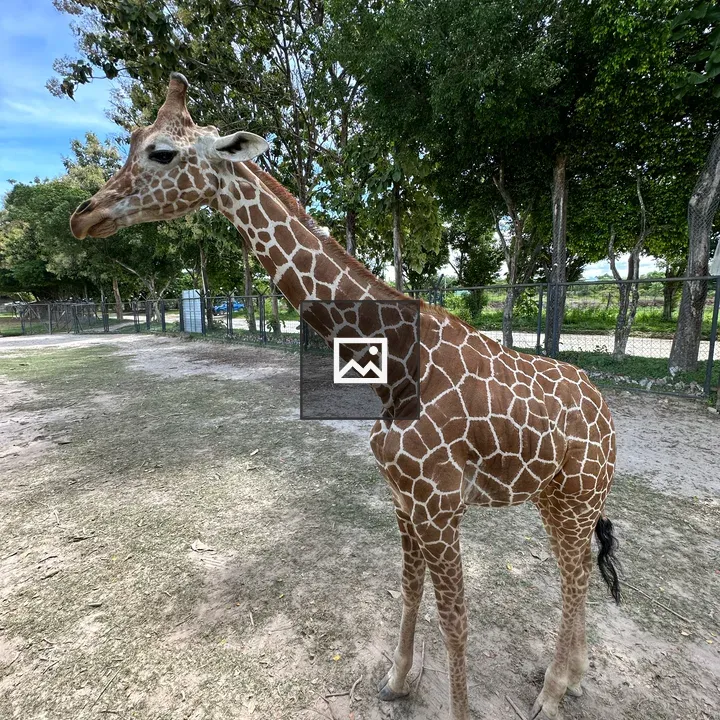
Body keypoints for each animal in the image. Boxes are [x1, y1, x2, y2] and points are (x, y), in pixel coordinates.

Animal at [70, 74, 621, 720]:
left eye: (161, 152)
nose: (84, 216)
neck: (397, 365)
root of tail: (608, 415)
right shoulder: (405, 501)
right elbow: (410, 590)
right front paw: (397, 680)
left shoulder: (439, 506)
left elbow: (456, 620)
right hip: (554, 499)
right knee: (577, 571)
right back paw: (571, 679)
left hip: (577, 497)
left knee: (575, 576)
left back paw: (553, 691)